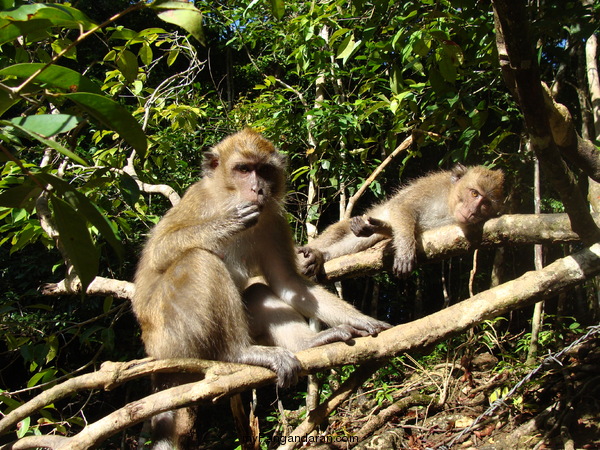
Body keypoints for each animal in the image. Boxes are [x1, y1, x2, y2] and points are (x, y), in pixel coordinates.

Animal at [131, 128, 390, 448]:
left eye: (264, 170)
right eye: (243, 169)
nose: (258, 189)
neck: (226, 197)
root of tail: (154, 350)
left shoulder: (273, 220)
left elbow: (286, 281)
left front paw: (360, 319)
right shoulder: (197, 200)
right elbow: (159, 252)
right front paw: (226, 223)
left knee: (257, 293)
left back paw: (310, 343)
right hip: (173, 336)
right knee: (198, 258)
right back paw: (238, 352)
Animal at [298, 163, 502, 280]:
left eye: (485, 203)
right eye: (474, 193)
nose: (472, 211)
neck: (448, 203)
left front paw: (378, 227)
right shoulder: (433, 186)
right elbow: (403, 207)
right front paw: (405, 251)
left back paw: (321, 255)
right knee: (338, 231)